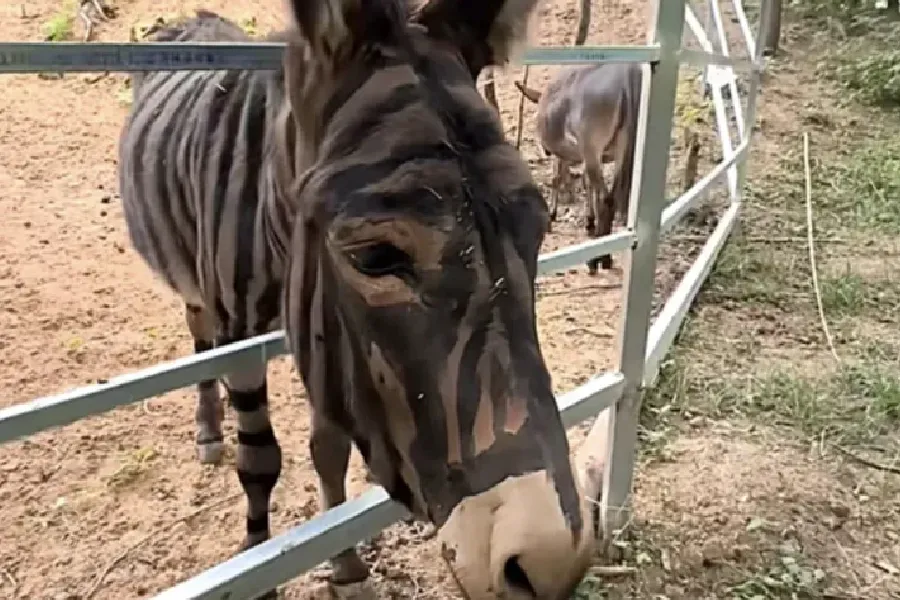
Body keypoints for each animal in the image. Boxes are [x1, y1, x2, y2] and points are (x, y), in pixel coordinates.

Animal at [117, 2, 600, 598]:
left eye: (538, 228)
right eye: (374, 257)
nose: (551, 564)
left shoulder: (326, 338)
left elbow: (329, 450)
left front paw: (345, 567)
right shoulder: (243, 333)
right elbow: (259, 459)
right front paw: (258, 558)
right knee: (198, 330)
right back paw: (208, 428)